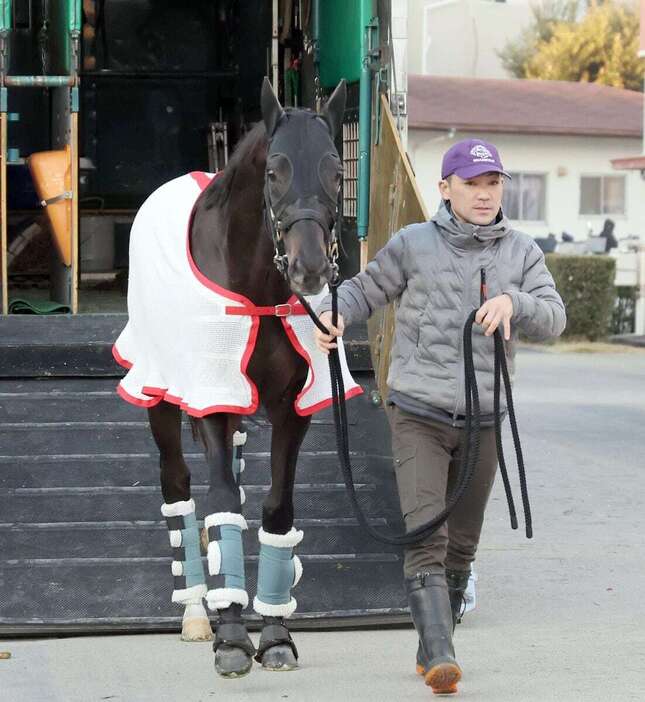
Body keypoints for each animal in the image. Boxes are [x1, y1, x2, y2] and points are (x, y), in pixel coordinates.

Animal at [117, 80, 348, 680]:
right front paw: (231, 637)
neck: (257, 288)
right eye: (274, 171)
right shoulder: (212, 400)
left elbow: (274, 509)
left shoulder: (291, 407)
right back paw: (198, 613)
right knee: (178, 489)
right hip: (162, 397)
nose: (310, 270)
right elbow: (221, 503)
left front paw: (275, 634)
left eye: (337, 170)